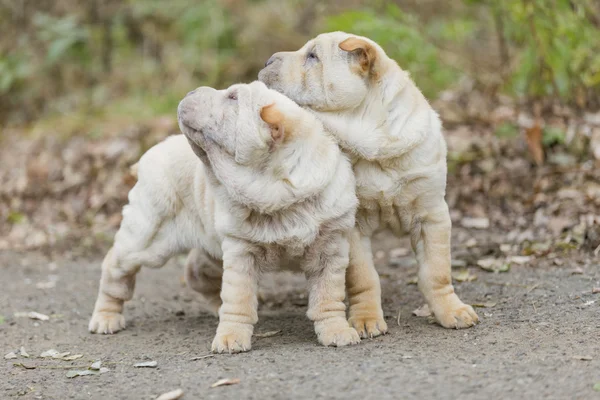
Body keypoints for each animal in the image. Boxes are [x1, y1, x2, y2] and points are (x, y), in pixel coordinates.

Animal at [89, 79, 360, 352]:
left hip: (211, 248)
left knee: (196, 273)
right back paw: (105, 318)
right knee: (114, 267)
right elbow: (239, 301)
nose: (192, 91)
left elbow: (328, 297)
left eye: (232, 98)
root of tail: (148, 156)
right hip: (148, 237)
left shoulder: (330, 250)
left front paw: (336, 330)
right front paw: (231, 338)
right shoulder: (241, 253)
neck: (279, 192)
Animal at [256, 31, 478, 330]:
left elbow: (437, 271)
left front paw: (452, 310)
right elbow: (363, 277)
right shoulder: (352, 228)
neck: (375, 144)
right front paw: (365, 319)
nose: (267, 60)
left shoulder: (432, 215)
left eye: (313, 56)